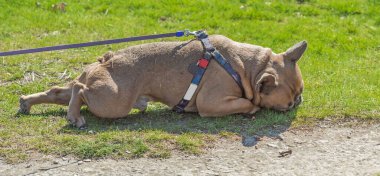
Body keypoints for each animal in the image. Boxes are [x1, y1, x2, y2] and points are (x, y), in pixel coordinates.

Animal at [19, 35, 308, 127]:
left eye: (301, 92)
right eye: (287, 105)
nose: (298, 102)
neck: (248, 68)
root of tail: (106, 59)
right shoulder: (212, 102)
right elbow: (250, 104)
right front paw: (253, 107)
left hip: (96, 89)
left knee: (60, 90)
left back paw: (27, 103)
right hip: (113, 102)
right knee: (79, 90)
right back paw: (74, 117)